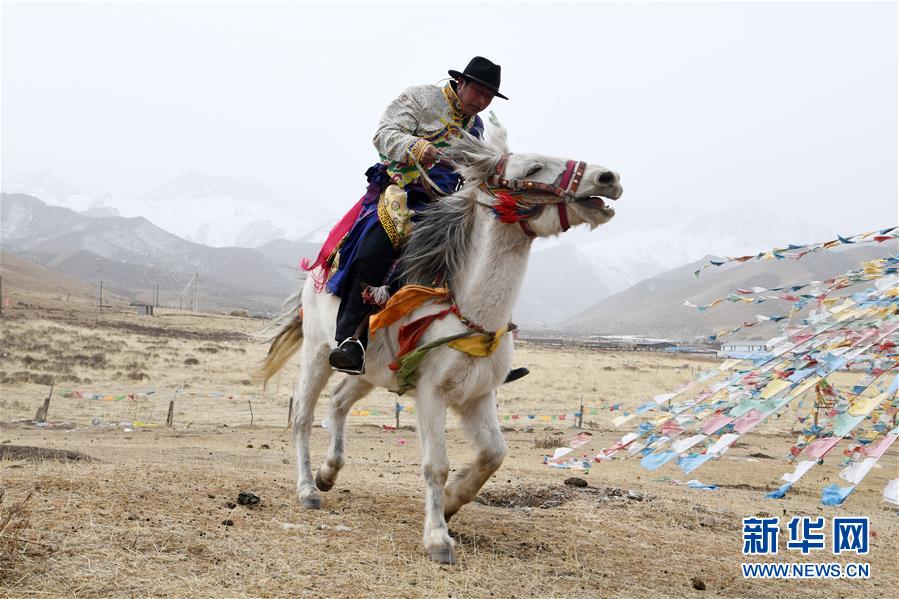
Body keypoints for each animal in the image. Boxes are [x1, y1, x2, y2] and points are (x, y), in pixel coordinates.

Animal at [260, 120, 624, 564]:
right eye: (534, 167)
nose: (608, 178)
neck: (469, 311)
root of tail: (317, 271)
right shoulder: (431, 393)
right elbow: (436, 464)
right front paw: (437, 538)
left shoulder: (477, 396)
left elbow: (493, 455)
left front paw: (451, 503)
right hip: (317, 352)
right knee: (302, 416)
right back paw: (309, 489)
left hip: (369, 370)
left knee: (340, 401)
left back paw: (329, 472)